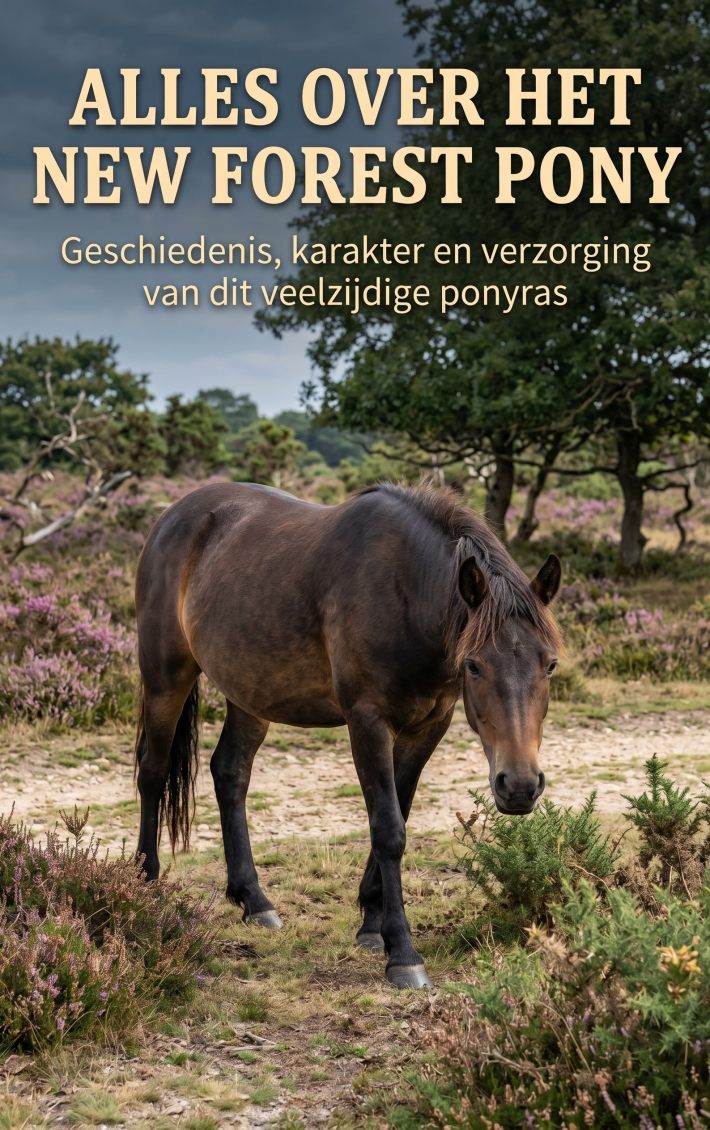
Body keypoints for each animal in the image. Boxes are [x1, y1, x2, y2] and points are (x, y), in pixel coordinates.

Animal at [134, 481, 561, 988]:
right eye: (474, 665)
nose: (519, 786)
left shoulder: (427, 728)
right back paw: (145, 884)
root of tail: (172, 516)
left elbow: (400, 813)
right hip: (166, 676)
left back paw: (254, 900)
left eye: (550, 664)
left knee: (230, 773)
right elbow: (388, 829)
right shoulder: (368, 722)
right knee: (153, 772)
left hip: (250, 693)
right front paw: (404, 955)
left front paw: (373, 926)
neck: (406, 592)